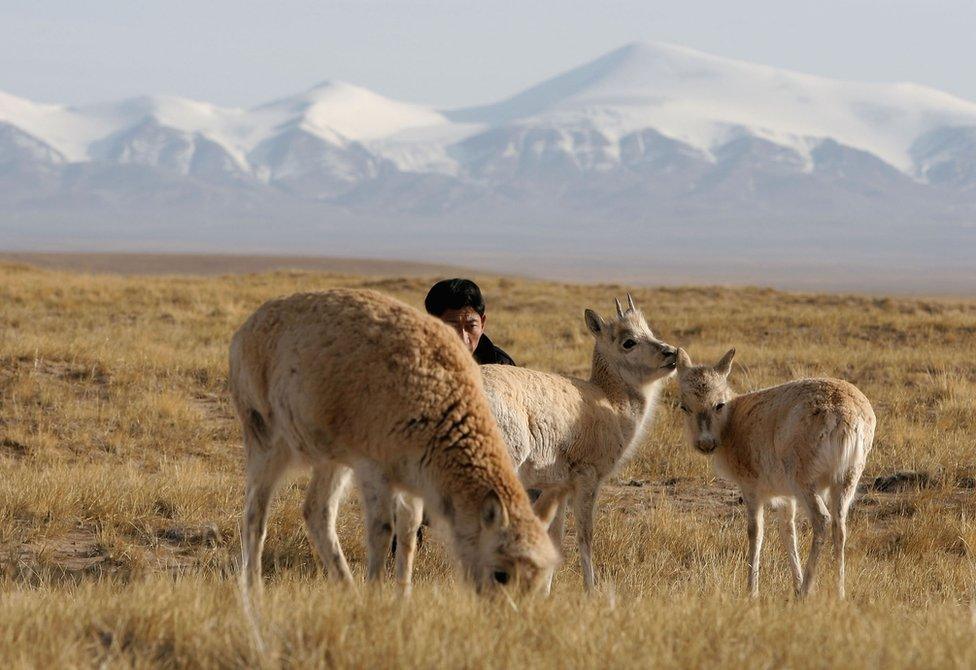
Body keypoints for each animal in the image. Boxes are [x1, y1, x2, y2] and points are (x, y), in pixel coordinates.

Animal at [229, 288, 560, 600]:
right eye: (501, 574)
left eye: (540, 579)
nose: (505, 614)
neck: (440, 403)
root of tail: (246, 328)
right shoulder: (373, 469)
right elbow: (382, 531)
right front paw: (375, 596)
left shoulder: (412, 479)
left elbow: (408, 533)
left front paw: (402, 597)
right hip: (266, 442)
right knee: (254, 516)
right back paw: (254, 589)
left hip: (332, 459)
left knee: (316, 511)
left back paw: (347, 588)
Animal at [672, 350, 876, 600]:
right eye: (684, 406)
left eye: (719, 404)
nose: (705, 444)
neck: (732, 423)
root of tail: (845, 415)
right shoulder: (785, 496)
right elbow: (788, 532)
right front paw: (795, 583)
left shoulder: (751, 487)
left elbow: (755, 531)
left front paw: (752, 590)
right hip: (848, 478)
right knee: (840, 525)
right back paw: (839, 593)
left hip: (803, 479)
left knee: (822, 519)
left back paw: (806, 592)